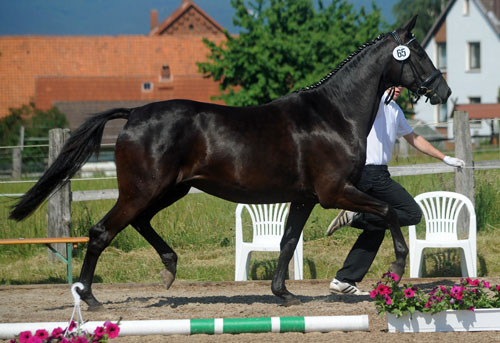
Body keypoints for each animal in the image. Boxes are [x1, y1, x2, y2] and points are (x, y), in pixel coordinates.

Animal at [10, 16, 450, 310]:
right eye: (418, 53)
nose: (443, 91)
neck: (332, 115)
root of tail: (133, 114)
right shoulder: (334, 192)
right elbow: (389, 211)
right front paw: (394, 272)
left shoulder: (305, 197)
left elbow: (288, 241)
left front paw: (283, 293)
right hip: (143, 190)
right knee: (102, 232)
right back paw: (91, 298)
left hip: (170, 189)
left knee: (139, 223)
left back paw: (168, 269)